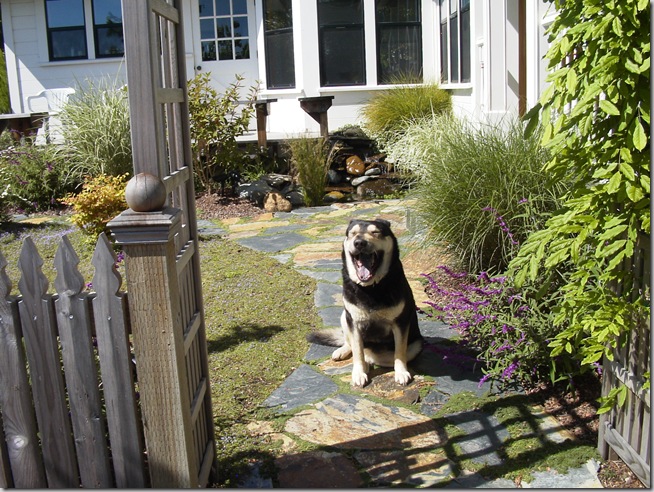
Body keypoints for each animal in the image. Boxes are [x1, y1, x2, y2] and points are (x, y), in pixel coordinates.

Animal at [308, 217, 426, 386]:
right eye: (352, 233)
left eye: (375, 232)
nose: (359, 243)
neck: (370, 288)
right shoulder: (354, 321)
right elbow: (357, 350)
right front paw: (359, 373)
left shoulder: (400, 322)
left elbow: (399, 352)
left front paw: (401, 372)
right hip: (344, 316)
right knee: (350, 343)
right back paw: (345, 352)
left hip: (416, 344)